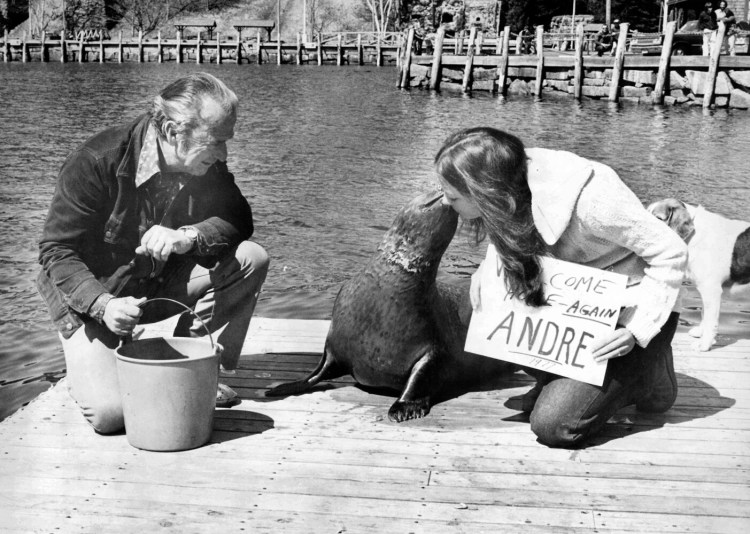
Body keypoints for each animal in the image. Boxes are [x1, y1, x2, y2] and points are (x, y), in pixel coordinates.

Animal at [648, 199, 750, 354]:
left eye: (658, 218)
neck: (694, 236)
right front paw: (701, 333)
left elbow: (710, 321)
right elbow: (703, 314)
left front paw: (704, 345)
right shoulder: (705, 291)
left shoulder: (711, 291)